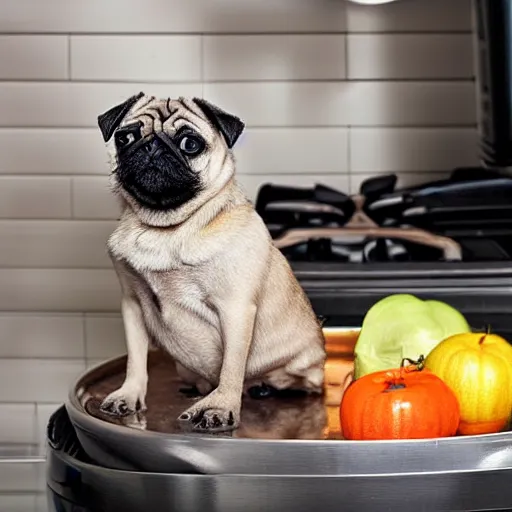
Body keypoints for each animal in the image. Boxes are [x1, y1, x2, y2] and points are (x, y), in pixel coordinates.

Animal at [98, 93, 326, 432]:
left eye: (190, 143)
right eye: (125, 138)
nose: (151, 147)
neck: (165, 228)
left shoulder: (235, 307)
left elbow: (232, 366)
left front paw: (221, 406)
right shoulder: (132, 305)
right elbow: (135, 360)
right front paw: (129, 393)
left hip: (302, 366)